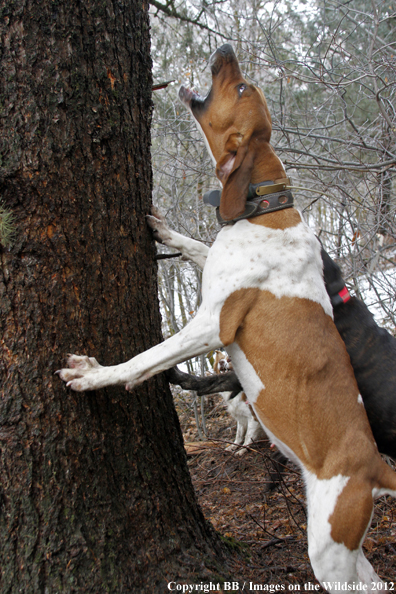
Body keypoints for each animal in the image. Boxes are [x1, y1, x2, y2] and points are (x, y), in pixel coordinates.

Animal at [58, 45, 396, 588]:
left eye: (240, 88)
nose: (224, 51)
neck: (267, 211)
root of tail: (375, 468)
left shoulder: (210, 325)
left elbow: (145, 358)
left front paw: (94, 375)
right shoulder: (214, 272)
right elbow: (196, 246)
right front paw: (165, 232)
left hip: (329, 550)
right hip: (348, 549)